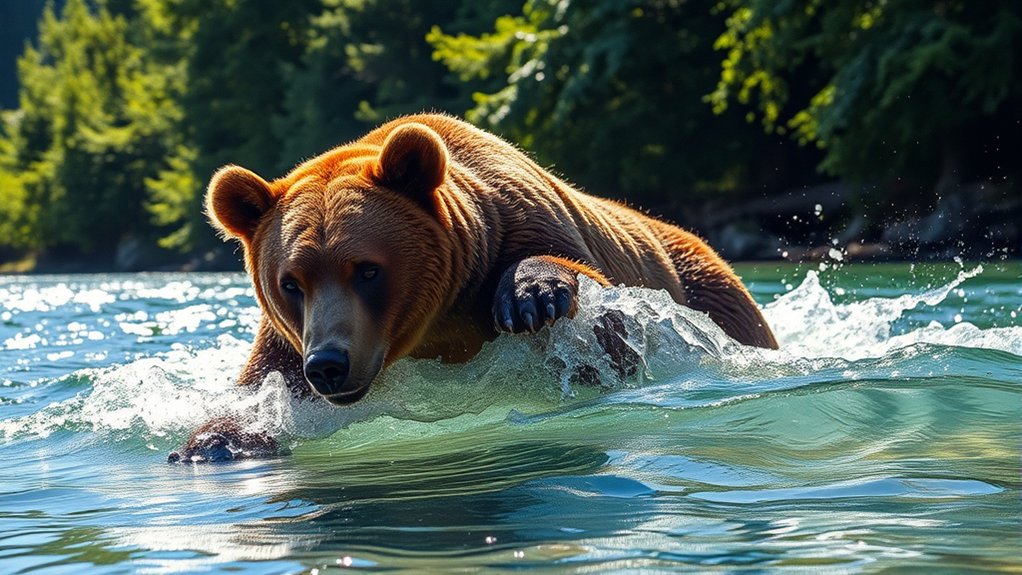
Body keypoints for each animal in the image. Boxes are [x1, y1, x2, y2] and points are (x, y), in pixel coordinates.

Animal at [169, 113, 777, 462]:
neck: (440, 321)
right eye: (291, 282)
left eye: (367, 269)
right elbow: (260, 391)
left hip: (705, 288)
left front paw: (534, 299)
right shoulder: (285, 341)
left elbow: (602, 317)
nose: (329, 364)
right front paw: (211, 443)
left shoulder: (522, 216)